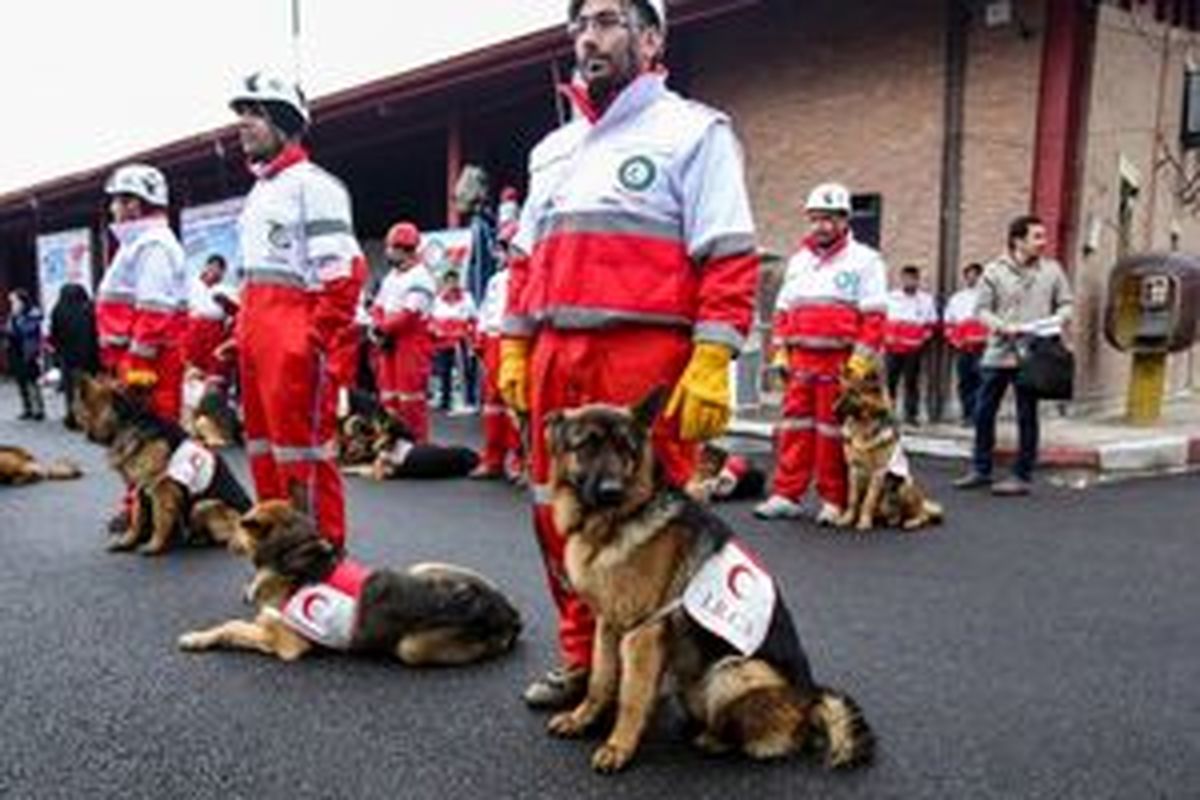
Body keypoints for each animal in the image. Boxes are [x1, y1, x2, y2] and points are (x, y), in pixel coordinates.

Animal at [73, 376, 252, 556]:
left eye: (102, 387)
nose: (80, 378)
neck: (129, 422)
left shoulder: (161, 489)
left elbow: (159, 520)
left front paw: (154, 546)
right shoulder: (140, 487)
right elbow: (137, 519)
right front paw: (127, 541)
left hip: (204, 505)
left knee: (221, 538)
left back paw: (197, 540)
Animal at [178, 503, 520, 666]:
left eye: (240, 525)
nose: (226, 543)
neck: (292, 554)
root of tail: (510, 613)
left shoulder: (288, 643)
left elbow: (232, 626)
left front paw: (197, 638)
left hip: (411, 648)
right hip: (423, 566)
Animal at [544, 391, 873, 772]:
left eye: (625, 448)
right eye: (587, 445)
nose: (612, 491)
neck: (613, 523)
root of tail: (810, 699)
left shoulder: (643, 632)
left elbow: (631, 696)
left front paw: (618, 746)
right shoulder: (608, 625)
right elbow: (600, 680)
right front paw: (582, 718)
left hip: (734, 672)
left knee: (772, 740)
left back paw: (713, 740)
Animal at [835, 357, 936, 532]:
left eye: (854, 392)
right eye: (842, 391)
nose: (833, 410)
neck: (863, 427)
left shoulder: (878, 472)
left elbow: (868, 500)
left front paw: (864, 522)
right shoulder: (853, 469)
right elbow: (852, 499)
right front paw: (847, 519)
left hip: (903, 485)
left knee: (923, 515)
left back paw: (911, 522)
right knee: (896, 515)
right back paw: (892, 520)